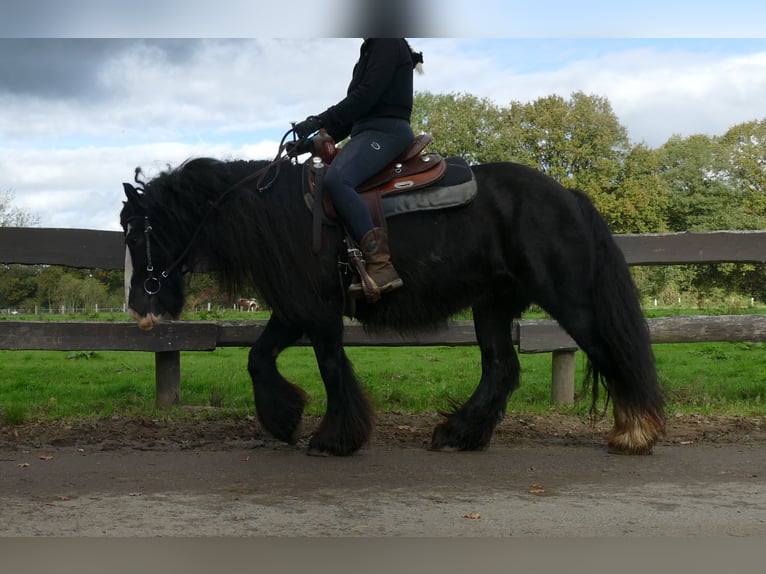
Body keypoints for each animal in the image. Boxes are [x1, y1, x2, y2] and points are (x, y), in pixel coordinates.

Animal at [120, 154, 665, 456]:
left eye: (134, 231)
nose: (138, 308)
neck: (281, 214)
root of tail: (568, 195)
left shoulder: (317, 311)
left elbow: (331, 366)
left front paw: (335, 438)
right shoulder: (295, 307)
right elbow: (259, 357)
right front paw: (285, 419)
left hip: (570, 301)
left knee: (610, 352)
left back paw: (635, 432)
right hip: (491, 306)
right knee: (501, 369)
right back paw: (459, 433)